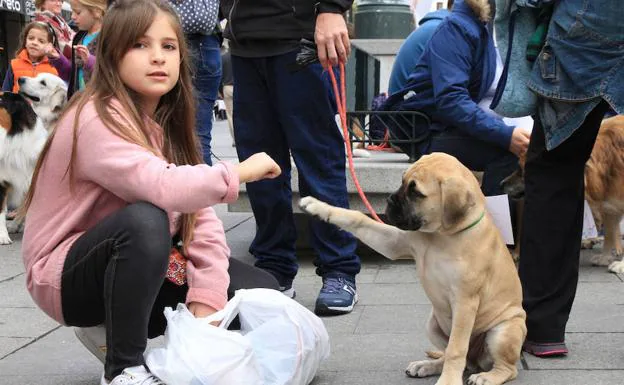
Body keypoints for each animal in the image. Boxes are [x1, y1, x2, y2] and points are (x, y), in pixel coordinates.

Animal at [300, 153, 524, 384]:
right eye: (402, 181)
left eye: (416, 192)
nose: (389, 200)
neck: (440, 236)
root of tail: (476, 361)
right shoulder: (394, 243)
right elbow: (357, 218)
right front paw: (317, 206)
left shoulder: (465, 302)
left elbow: (456, 349)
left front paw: (448, 380)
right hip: (433, 324)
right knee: (450, 356)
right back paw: (427, 366)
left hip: (503, 331)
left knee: (505, 367)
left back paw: (486, 377)